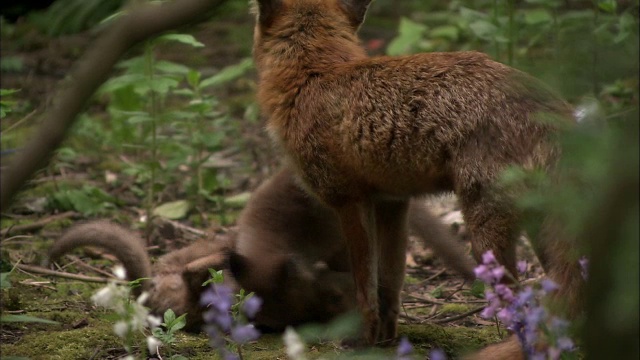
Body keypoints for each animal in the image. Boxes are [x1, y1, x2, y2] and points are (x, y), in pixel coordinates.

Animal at [250, 0, 584, 356]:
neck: (314, 74)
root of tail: (555, 108)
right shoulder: (392, 203)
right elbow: (389, 286)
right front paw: (387, 342)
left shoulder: (350, 202)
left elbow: (365, 288)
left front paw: (363, 343)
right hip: (541, 230)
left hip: (487, 234)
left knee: (523, 302)